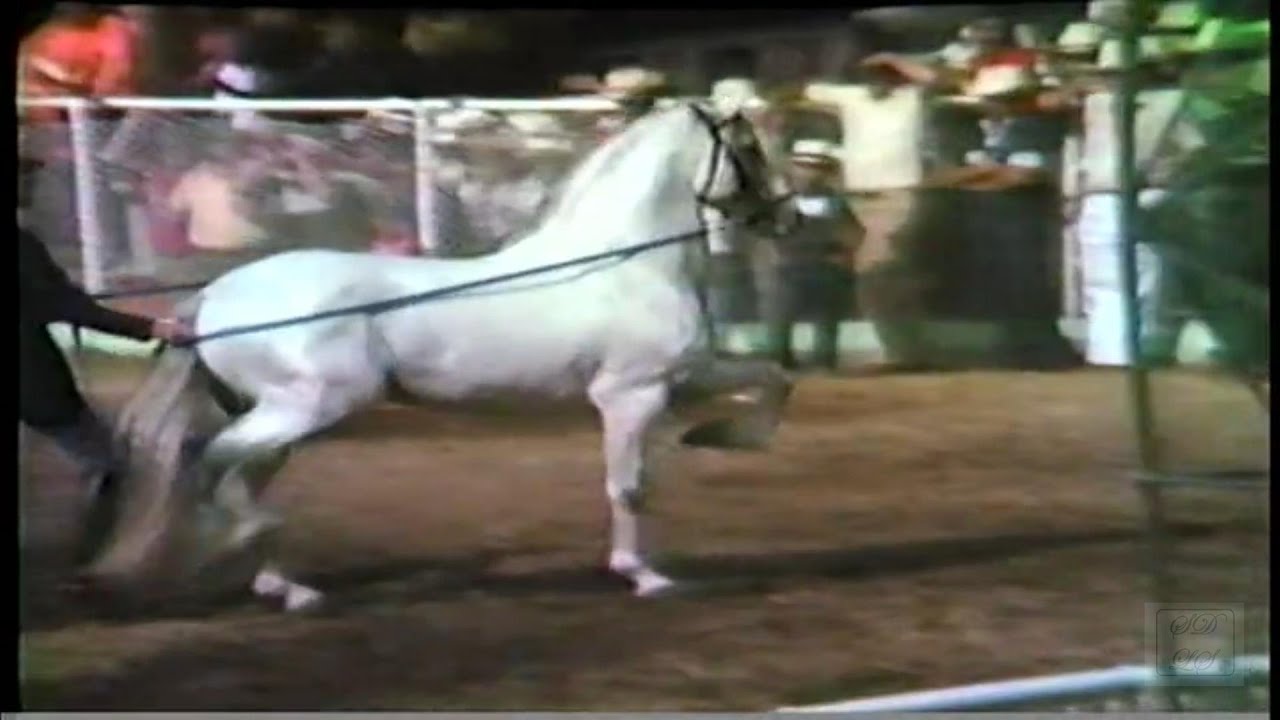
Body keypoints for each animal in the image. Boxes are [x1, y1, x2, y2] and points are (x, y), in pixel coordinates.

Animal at [95, 100, 798, 612]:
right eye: (749, 149)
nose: (786, 217)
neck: (624, 263)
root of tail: (214, 295)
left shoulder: (688, 376)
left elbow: (775, 378)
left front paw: (720, 437)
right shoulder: (632, 394)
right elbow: (629, 486)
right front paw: (644, 576)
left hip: (284, 418)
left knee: (241, 475)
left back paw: (286, 586)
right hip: (309, 408)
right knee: (215, 464)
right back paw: (249, 547)